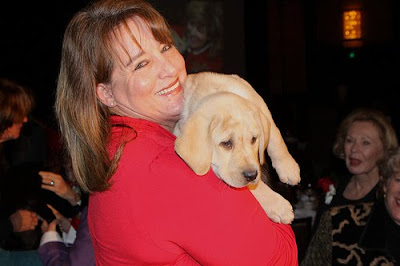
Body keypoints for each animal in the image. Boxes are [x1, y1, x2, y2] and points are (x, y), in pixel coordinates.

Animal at [174, 71, 300, 223]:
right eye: (226, 143)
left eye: (254, 139)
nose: (252, 175)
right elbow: (252, 187)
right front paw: (278, 206)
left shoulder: (262, 109)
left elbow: (276, 139)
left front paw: (289, 169)